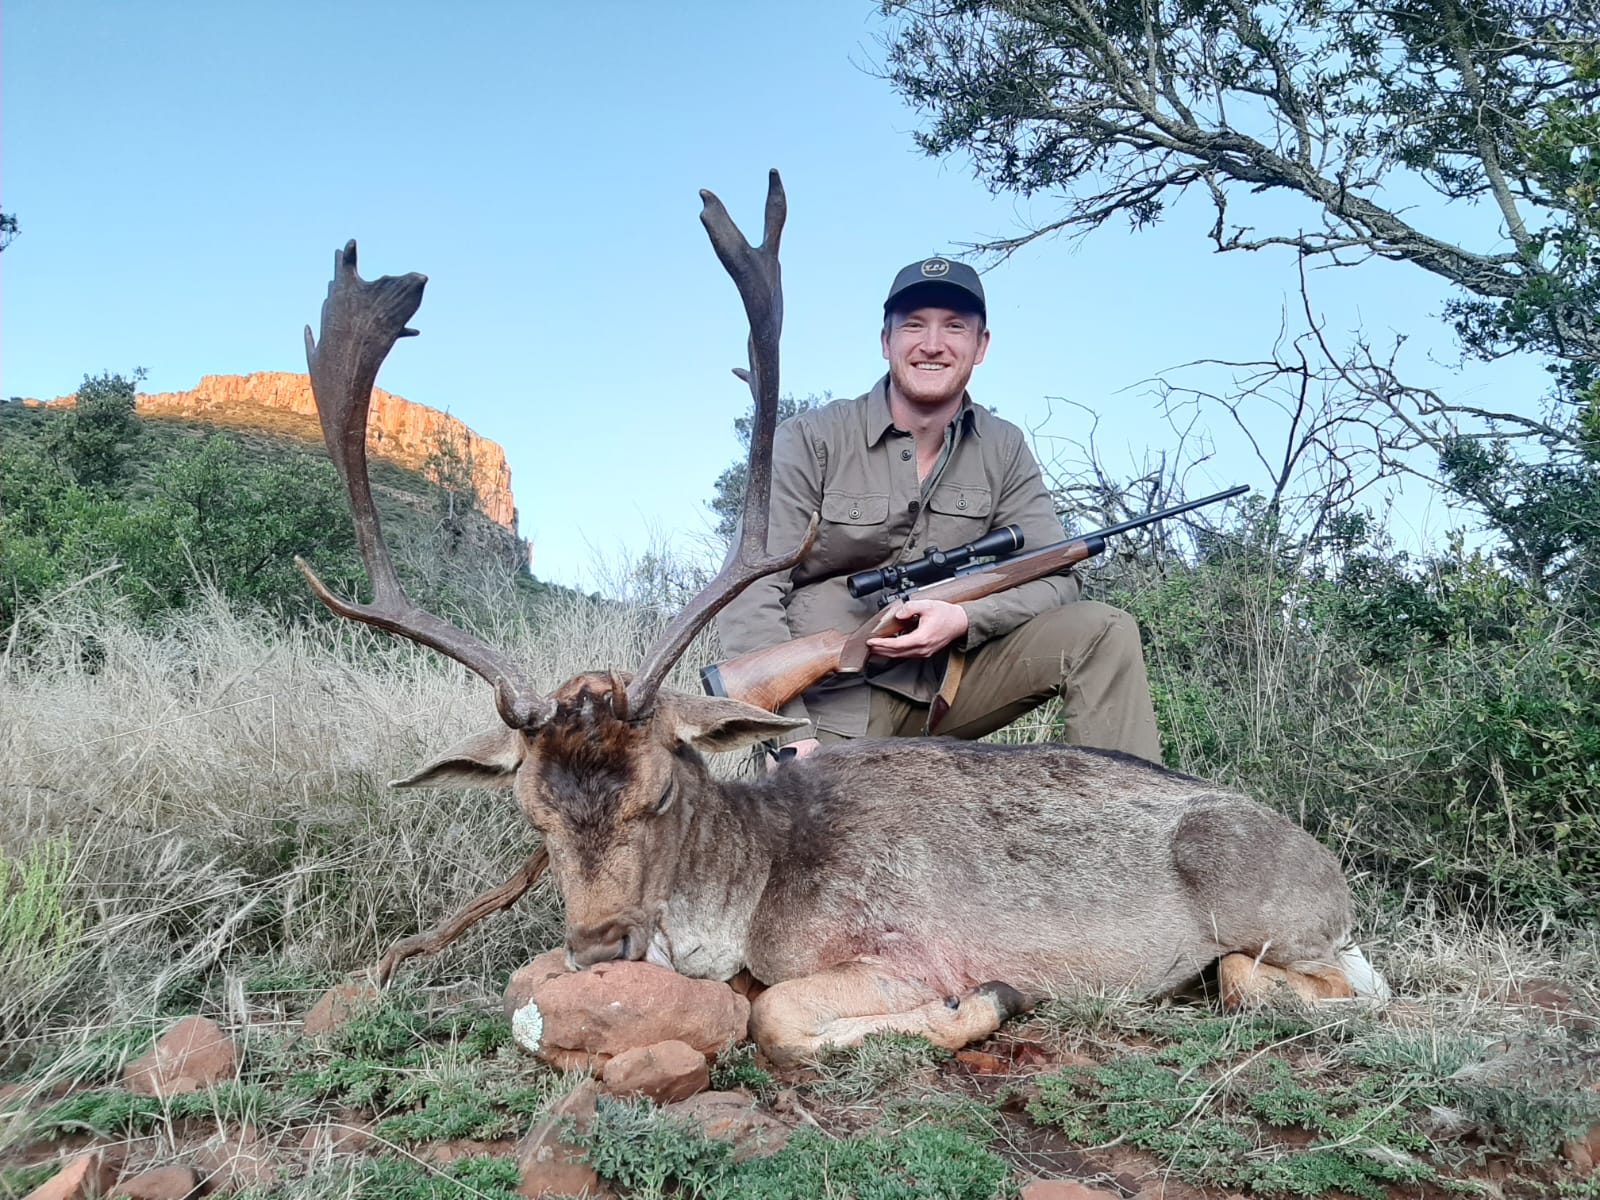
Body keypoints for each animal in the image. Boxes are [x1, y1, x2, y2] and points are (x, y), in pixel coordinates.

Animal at [297, 171, 1386, 1068]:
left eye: (661, 790)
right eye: (531, 809)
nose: (603, 946)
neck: (758, 886)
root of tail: (1328, 862)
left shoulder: (905, 944)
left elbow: (776, 1014)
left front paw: (992, 997)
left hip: (1271, 912)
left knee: (1313, 981)